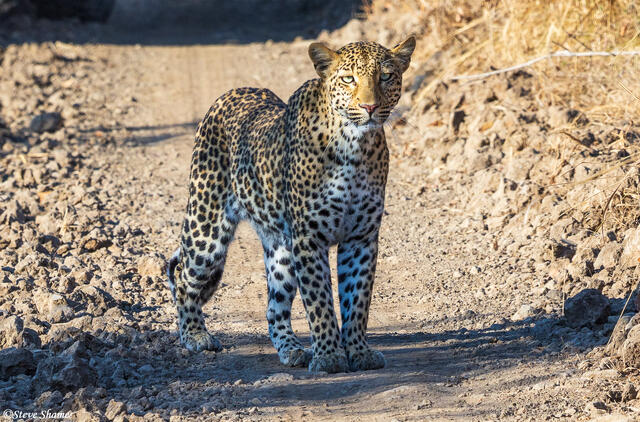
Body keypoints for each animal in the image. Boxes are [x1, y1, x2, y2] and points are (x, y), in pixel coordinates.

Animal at [166, 37, 415, 373]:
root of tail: (230, 93)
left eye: (386, 76)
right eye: (348, 79)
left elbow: (357, 300)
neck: (355, 147)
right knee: (183, 275)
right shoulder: (309, 238)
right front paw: (330, 357)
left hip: (280, 248)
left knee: (275, 306)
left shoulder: (361, 237)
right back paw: (195, 336)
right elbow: (319, 300)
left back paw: (292, 349)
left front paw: (359, 351)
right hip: (206, 228)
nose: (370, 107)